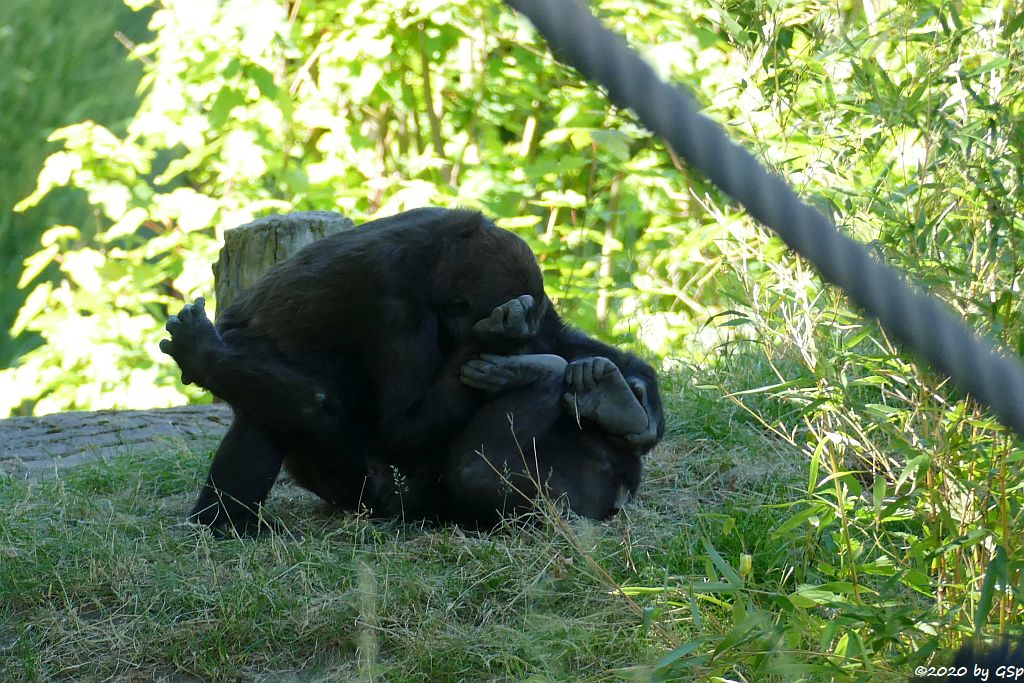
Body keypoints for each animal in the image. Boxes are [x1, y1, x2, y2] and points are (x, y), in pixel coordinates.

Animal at [159, 208, 663, 532]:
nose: (520, 343)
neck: (438, 259)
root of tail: (619, 491)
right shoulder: (392, 301)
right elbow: (404, 424)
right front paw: (498, 339)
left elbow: (557, 335)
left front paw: (644, 399)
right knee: (303, 408)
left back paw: (615, 400)